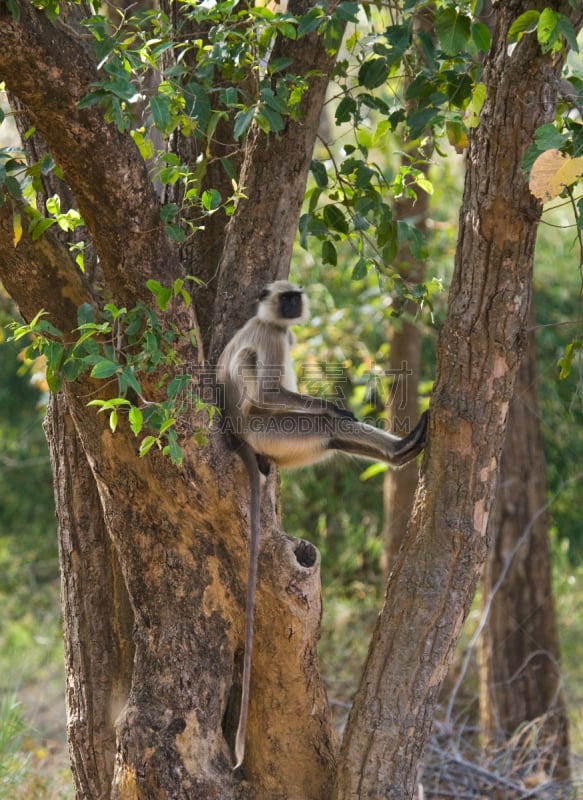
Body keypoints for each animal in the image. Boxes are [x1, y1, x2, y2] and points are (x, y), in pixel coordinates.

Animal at [217, 282, 426, 768]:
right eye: (285, 298)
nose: (294, 305)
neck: (272, 321)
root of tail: (239, 436)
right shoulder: (273, 338)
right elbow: (272, 390)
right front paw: (334, 403)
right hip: (272, 431)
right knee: (325, 425)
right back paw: (380, 437)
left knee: (332, 436)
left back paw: (403, 450)